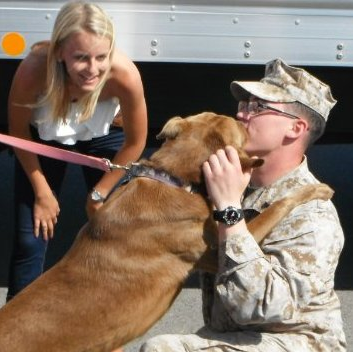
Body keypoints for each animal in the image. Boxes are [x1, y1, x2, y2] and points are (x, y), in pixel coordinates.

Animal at [0, 113, 332, 352]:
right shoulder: (217, 254)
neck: (173, 178)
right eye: (238, 122)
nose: (245, 118)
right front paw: (316, 189)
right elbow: (277, 206)